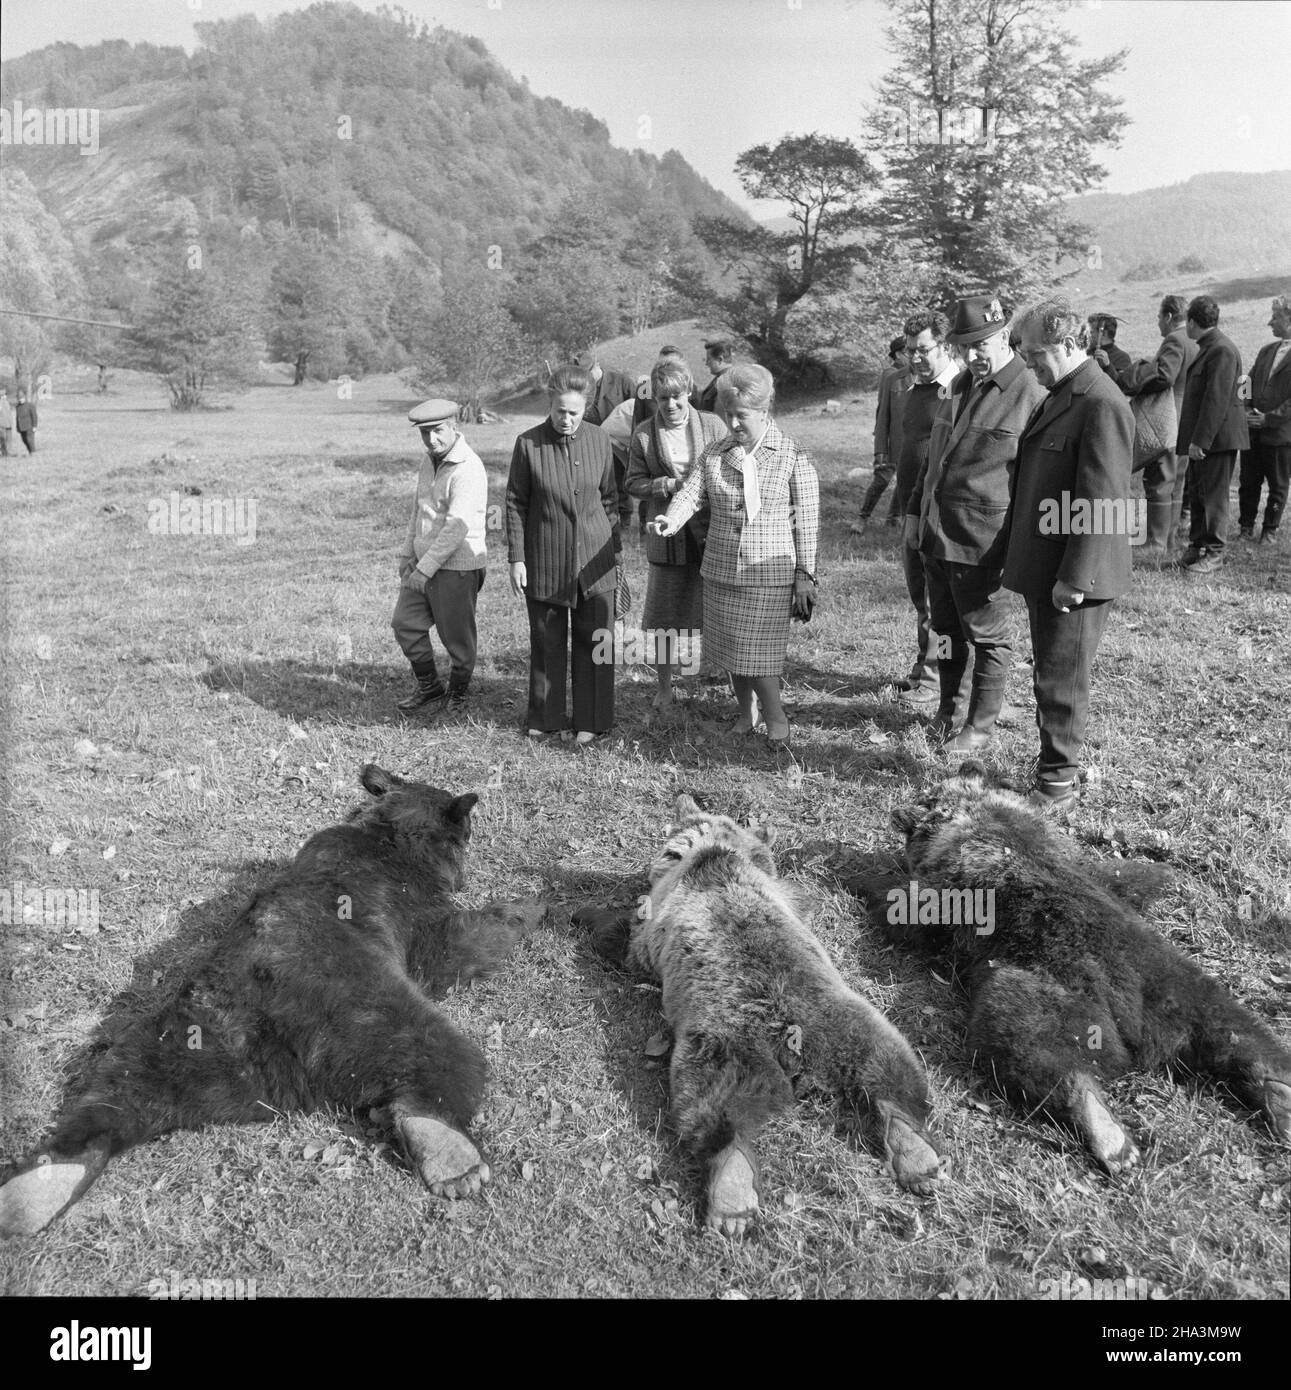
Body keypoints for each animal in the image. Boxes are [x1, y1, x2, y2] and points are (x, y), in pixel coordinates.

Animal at [0, 767, 544, 1234]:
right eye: (468, 831)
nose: (470, 863)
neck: (392, 834)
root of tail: (273, 1054)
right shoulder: (414, 911)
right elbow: (454, 945)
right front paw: (527, 907)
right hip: (370, 1013)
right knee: (438, 1057)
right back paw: (454, 1158)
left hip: (171, 1045)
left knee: (113, 1099)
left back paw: (35, 1188)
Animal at [889, 761, 1289, 1173]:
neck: (977, 816)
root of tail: (1129, 1015)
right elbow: (1119, 873)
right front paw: (1160, 873)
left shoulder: (948, 890)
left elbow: (913, 915)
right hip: (1177, 985)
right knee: (1238, 1035)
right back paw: (1278, 1098)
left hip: (1039, 989)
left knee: (1033, 1051)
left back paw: (1108, 1134)